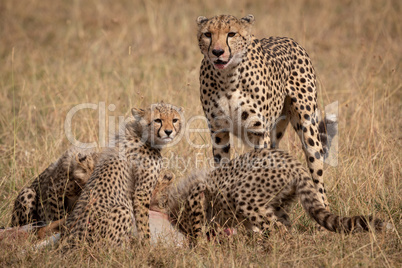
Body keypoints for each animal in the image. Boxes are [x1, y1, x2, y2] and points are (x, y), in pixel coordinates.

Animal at [61, 102, 184, 247]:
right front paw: (146, 246)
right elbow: (143, 223)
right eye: (158, 120)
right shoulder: (141, 193)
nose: (169, 132)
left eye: (174, 120)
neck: (141, 134)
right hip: (121, 211)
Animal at [155, 149, 386, 245]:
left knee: (277, 228)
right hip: (277, 203)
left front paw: (199, 246)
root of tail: (295, 163)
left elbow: (196, 225)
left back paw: (268, 248)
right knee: (284, 227)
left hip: (244, 196)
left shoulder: (197, 192)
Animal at [197, 15, 330, 209]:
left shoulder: (259, 132)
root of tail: (287, 39)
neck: (227, 78)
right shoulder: (218, 132)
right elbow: (222, 167)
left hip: (308, 129)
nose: (217, 52)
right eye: (207, 34)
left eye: (231, 34)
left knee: (317, 176)